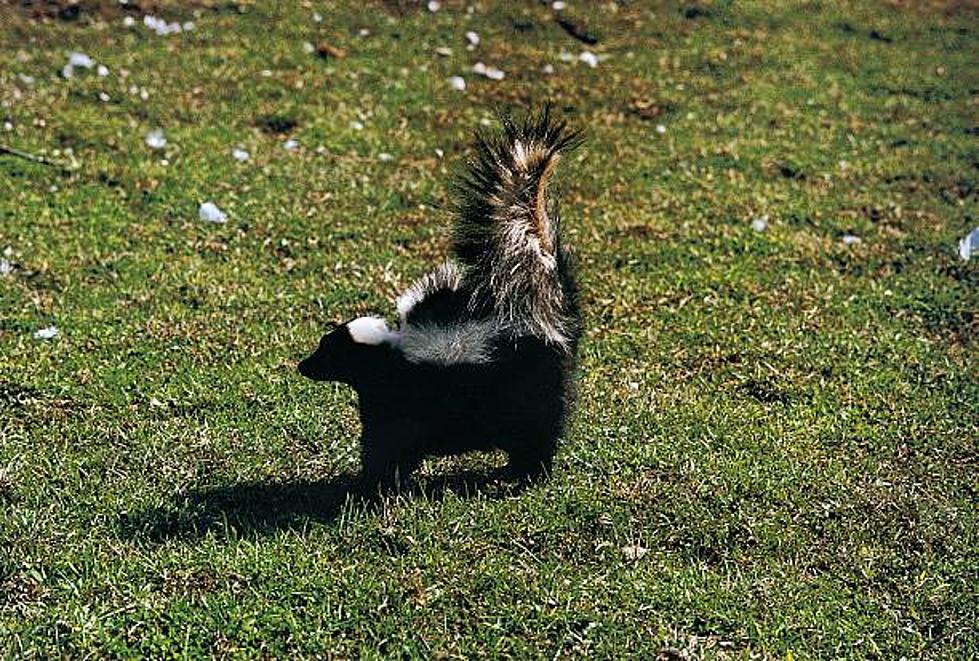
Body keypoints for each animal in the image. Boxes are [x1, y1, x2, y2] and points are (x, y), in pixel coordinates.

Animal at [298, 108, 584, 488]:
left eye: (328, 353)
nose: (303, 366)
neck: (388, 356)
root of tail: (545, 314)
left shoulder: (403, 402)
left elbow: (391, 444)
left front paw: (373, 484)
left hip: (527, 390)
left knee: (536, 435)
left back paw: (525, 476)